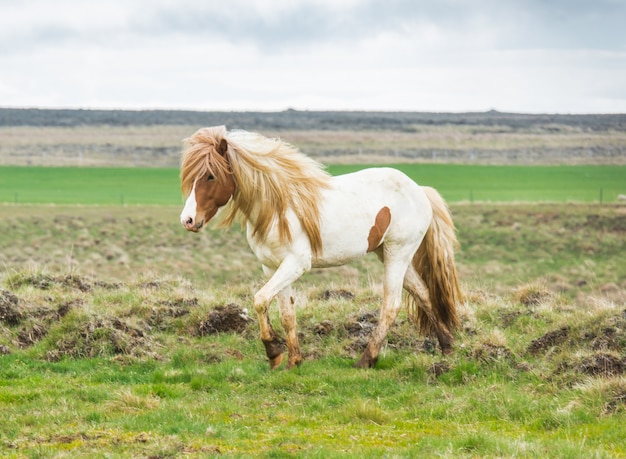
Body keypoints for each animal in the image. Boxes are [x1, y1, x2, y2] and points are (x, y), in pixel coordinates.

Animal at [178, 126, 460, 370]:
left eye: (210, 175)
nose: (188, 220)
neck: (278, 209)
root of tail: (419, 190)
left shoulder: (296, 264)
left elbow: (259, 300)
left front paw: (273, 351)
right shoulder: (272, 267)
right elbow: (286, 313)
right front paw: (292, 360)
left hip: (397, 253)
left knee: (391, 304)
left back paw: (366, 360)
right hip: (389, 253)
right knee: (423, 293)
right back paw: (447, 347)